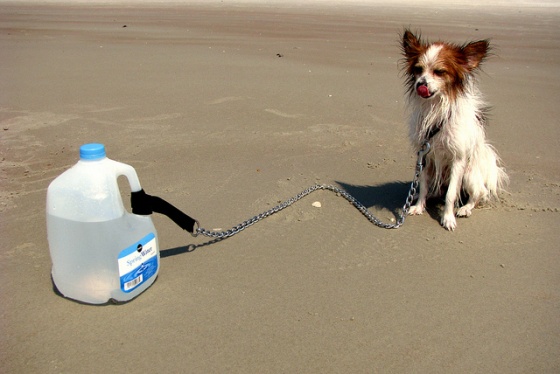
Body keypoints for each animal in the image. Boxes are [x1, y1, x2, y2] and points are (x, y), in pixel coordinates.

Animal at [398, 28, 508, 231]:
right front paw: (418, 206)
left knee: (478, 194)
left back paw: (465, 208)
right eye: (418, 70)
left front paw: (447, 218)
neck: (436, 108)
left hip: (469, 175)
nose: (420, 84)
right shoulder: (425, 157)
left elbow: (451, 195)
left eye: (439, 72)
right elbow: (423, 185)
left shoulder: (458, 159)